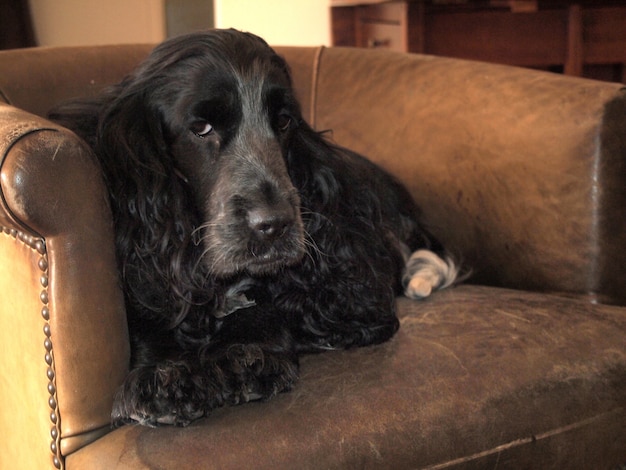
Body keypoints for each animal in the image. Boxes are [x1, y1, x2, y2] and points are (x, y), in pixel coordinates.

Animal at [50, 28, 458, 426]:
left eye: (283, 121)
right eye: (201, 127)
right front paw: (164, 374)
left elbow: (268, 307)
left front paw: (244, 355)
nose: (273, 225)